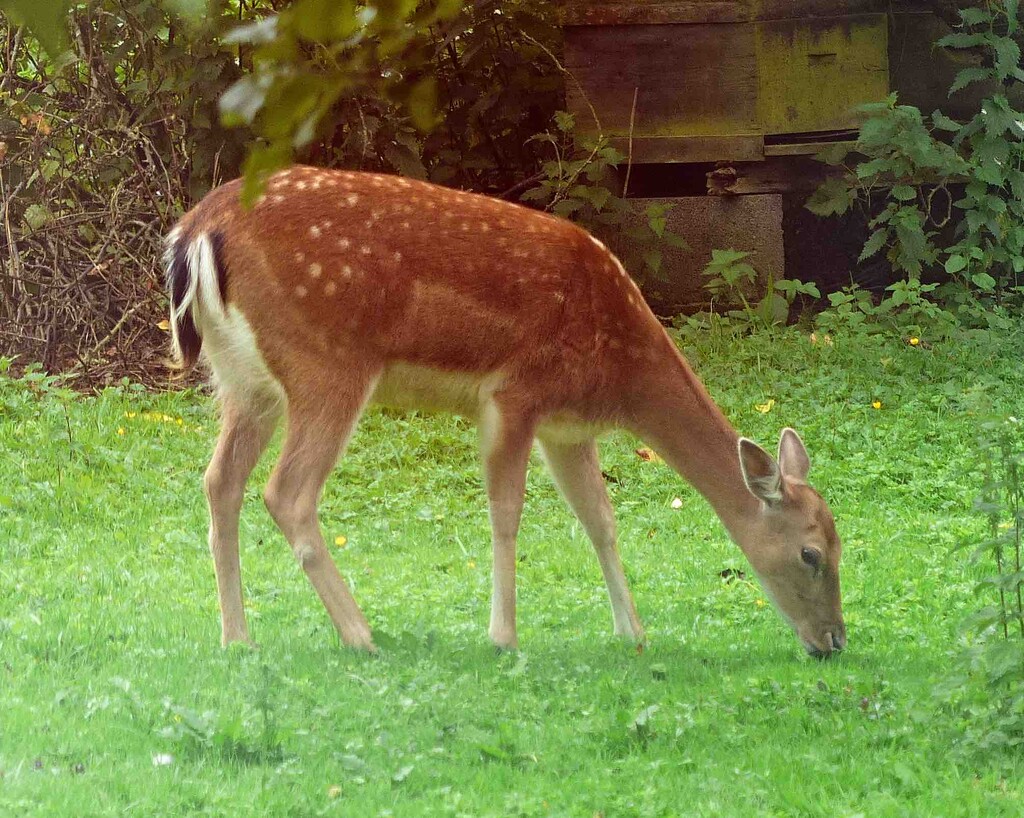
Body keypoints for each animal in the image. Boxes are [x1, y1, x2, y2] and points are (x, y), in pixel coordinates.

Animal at [163, 165, 843, 659]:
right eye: (811, 553)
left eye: (840, 544)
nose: (834, 641)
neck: (620, 372)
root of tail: (196, 231)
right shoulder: (516, 395)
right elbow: (508, 514)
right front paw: (504, 638)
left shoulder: (567, 428)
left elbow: (600, 519)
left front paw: (633, 632)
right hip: (325, 363)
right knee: (287, 492)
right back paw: (360, 635)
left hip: (241, 381)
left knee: (219, 481)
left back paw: (238, 638)